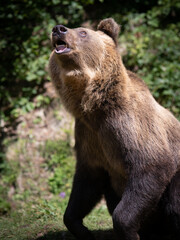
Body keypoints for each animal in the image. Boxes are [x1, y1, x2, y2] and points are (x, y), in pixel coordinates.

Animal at [48, 17, 180, 239]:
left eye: (83, 32)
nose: (58, 29)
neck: (95, 107)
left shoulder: (129, 124)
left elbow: (151, 165)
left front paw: (128, 230)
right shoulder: (89, 135)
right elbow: (86, 182)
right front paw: (81, 228)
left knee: (174, 200)